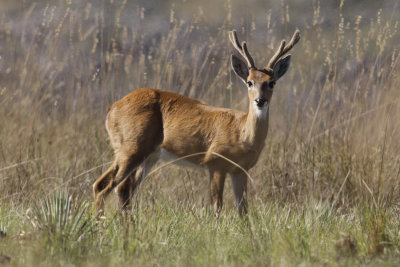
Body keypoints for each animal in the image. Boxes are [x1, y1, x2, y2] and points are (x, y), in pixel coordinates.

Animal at [94, 29, 300, 216]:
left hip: (149, 156)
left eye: (272, 82)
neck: (242, 133)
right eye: (249, 82)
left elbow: (243, 210)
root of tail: (112, 108)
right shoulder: (215, 163)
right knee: (103, 185)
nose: (260, 100)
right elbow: (217, 207)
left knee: (123, 190)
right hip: (131, 147)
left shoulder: (240, 170)